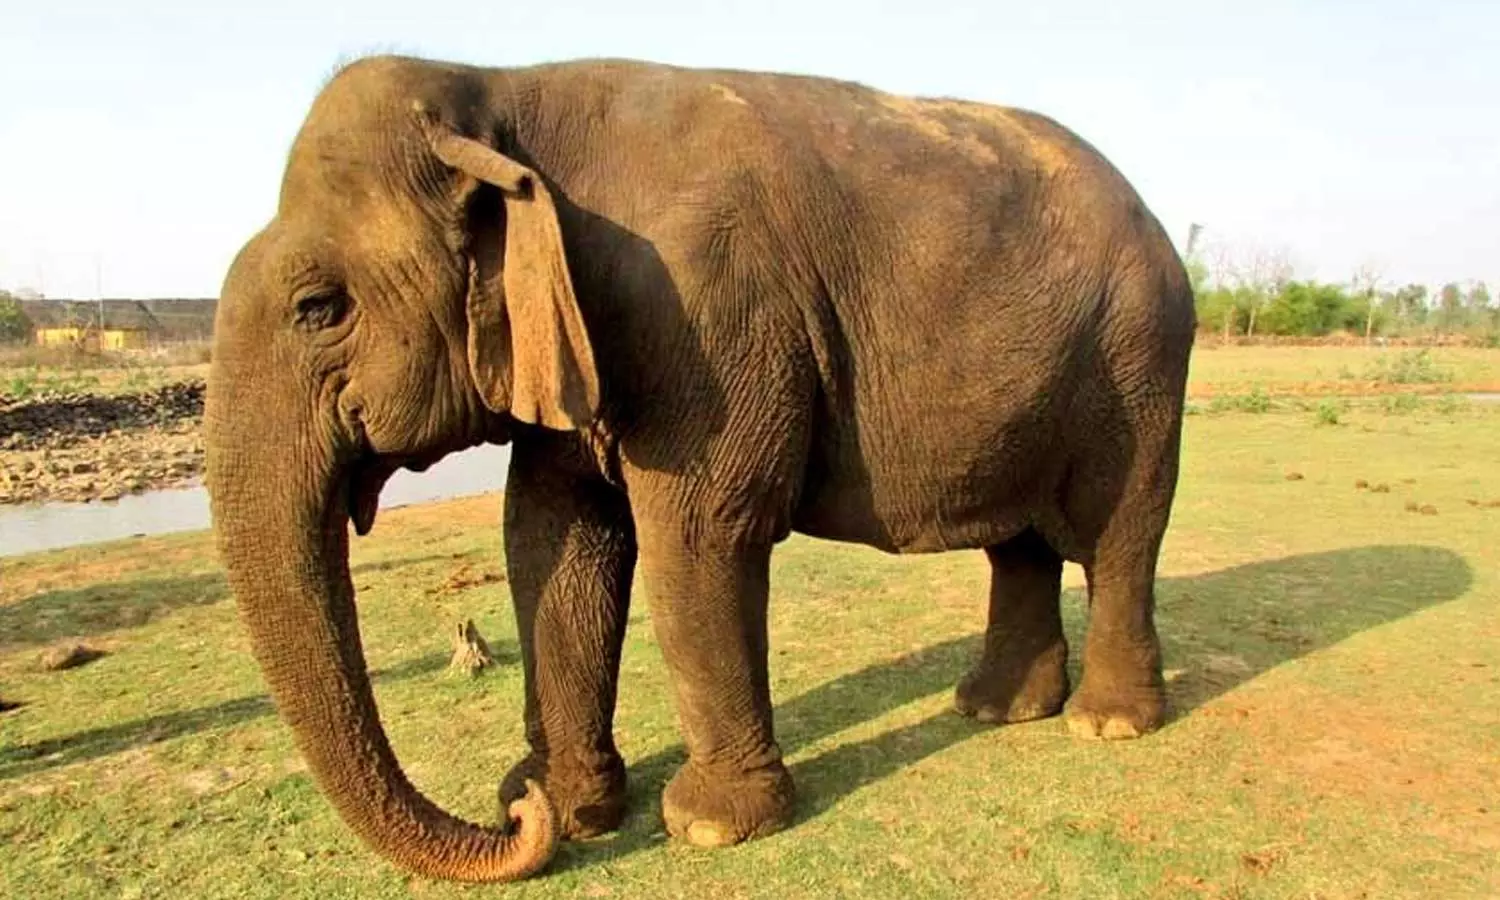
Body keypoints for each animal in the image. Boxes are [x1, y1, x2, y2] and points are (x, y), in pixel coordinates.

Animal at [204, 54, 1196, 883]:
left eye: (318, 308)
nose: (514, 810)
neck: (501, 92)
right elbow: (553, 539)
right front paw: (574, 806)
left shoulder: (707, 314)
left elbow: (697, 533)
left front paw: (711, 827)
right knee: (1019, 543)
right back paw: (995, 711)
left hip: (1141, 359)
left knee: (1121, 532)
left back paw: (1106, 723)